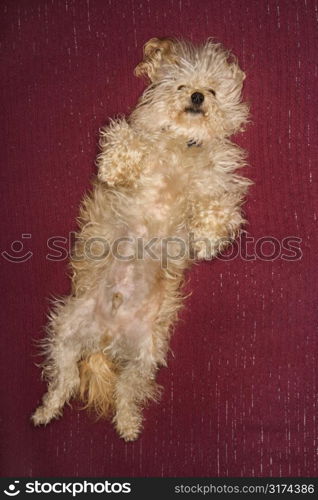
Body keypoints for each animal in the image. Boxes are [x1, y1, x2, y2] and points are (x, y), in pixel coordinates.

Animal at [32, 38, 251, 442]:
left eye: (212, 90)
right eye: (181, 85)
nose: (197, 96)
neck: (184, 146)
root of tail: (106, 340)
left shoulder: (218, 188)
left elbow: (220, 207)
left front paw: (208, 240)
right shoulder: (137, 152)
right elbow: (125, 139)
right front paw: (116, 165)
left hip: (146, 353)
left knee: (126, 391)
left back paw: (128, 425)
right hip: (64, 331)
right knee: (63, 381)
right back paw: (46, 412)